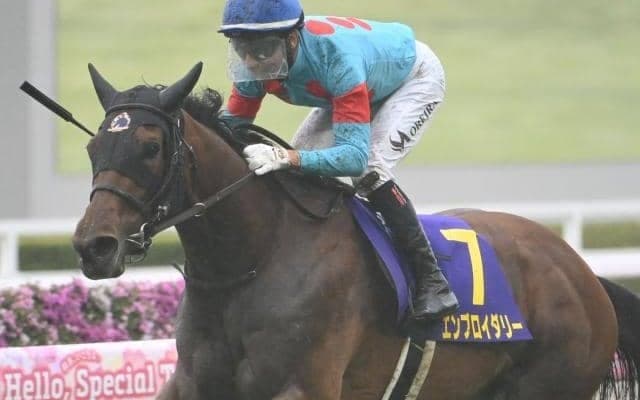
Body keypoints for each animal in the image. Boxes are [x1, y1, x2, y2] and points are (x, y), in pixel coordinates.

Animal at [71, 62, 640, 400]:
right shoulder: (192, 383)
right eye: (93, 147)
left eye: (150, 147)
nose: (93, 246)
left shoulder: (305, 386)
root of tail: (583, 273)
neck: (256, 258)